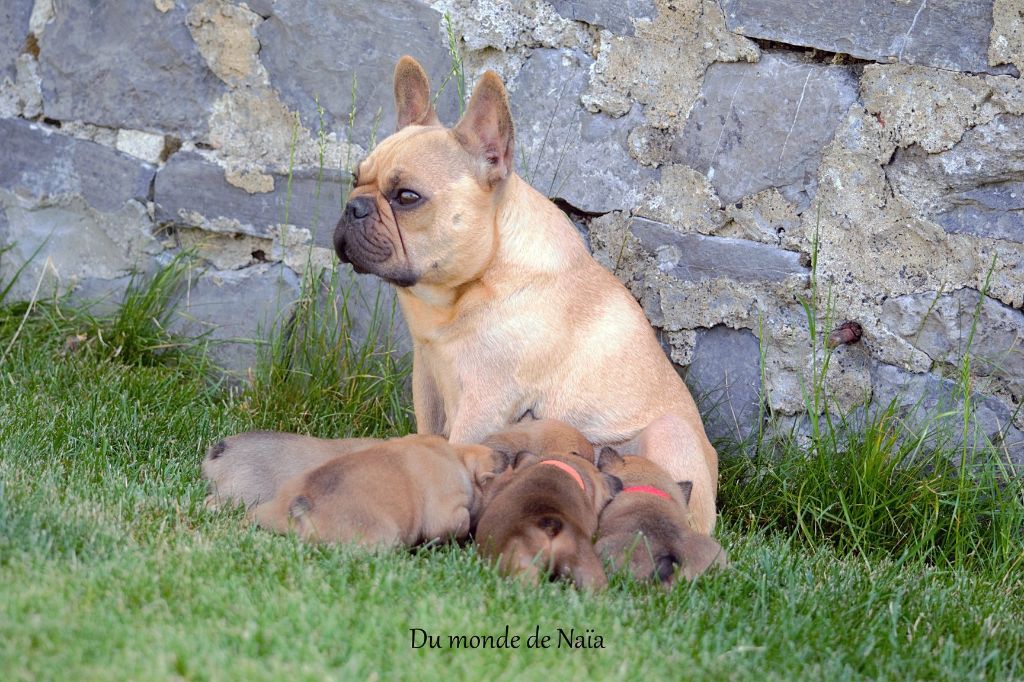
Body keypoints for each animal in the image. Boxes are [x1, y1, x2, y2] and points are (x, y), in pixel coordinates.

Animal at [331, 55, 716, 532]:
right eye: (354, 178)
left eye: (406, 197)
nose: (354, 206)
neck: (469, 286)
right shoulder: (429, 379)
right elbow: (429, 434)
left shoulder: (484, 400)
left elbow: (460, 446)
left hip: (669, 433)